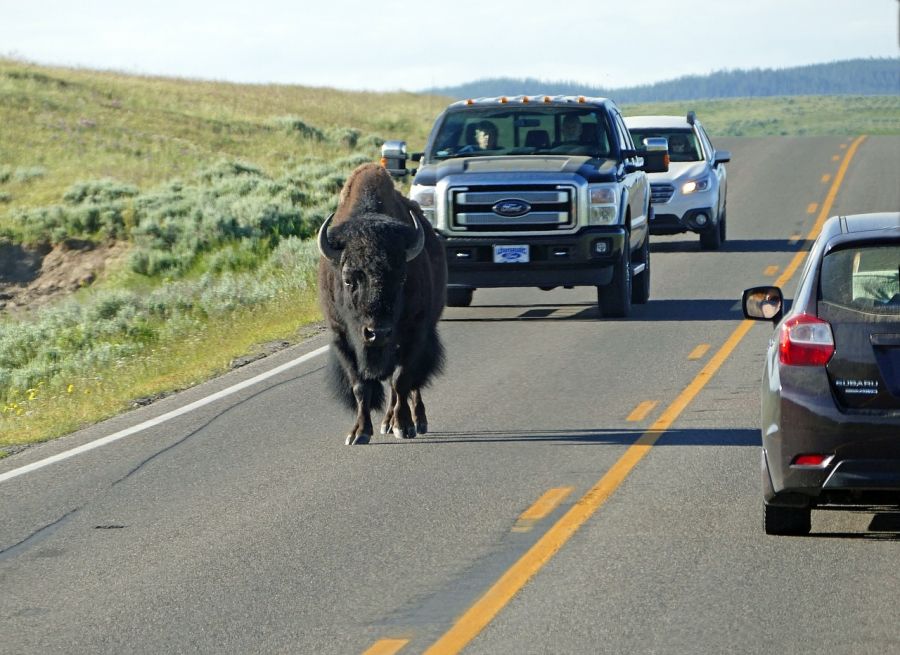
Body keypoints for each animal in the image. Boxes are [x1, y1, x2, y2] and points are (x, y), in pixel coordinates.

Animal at [316, 164, 446, 446]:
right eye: (348, 279)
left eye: (402, 277)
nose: (378, 333)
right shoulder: (341, 337)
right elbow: (360, 386)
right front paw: (359, 433)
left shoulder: (413, 333)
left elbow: (401, 380)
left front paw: (404, 426)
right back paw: (386, 422)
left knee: (411, 383)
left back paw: (415, 421)